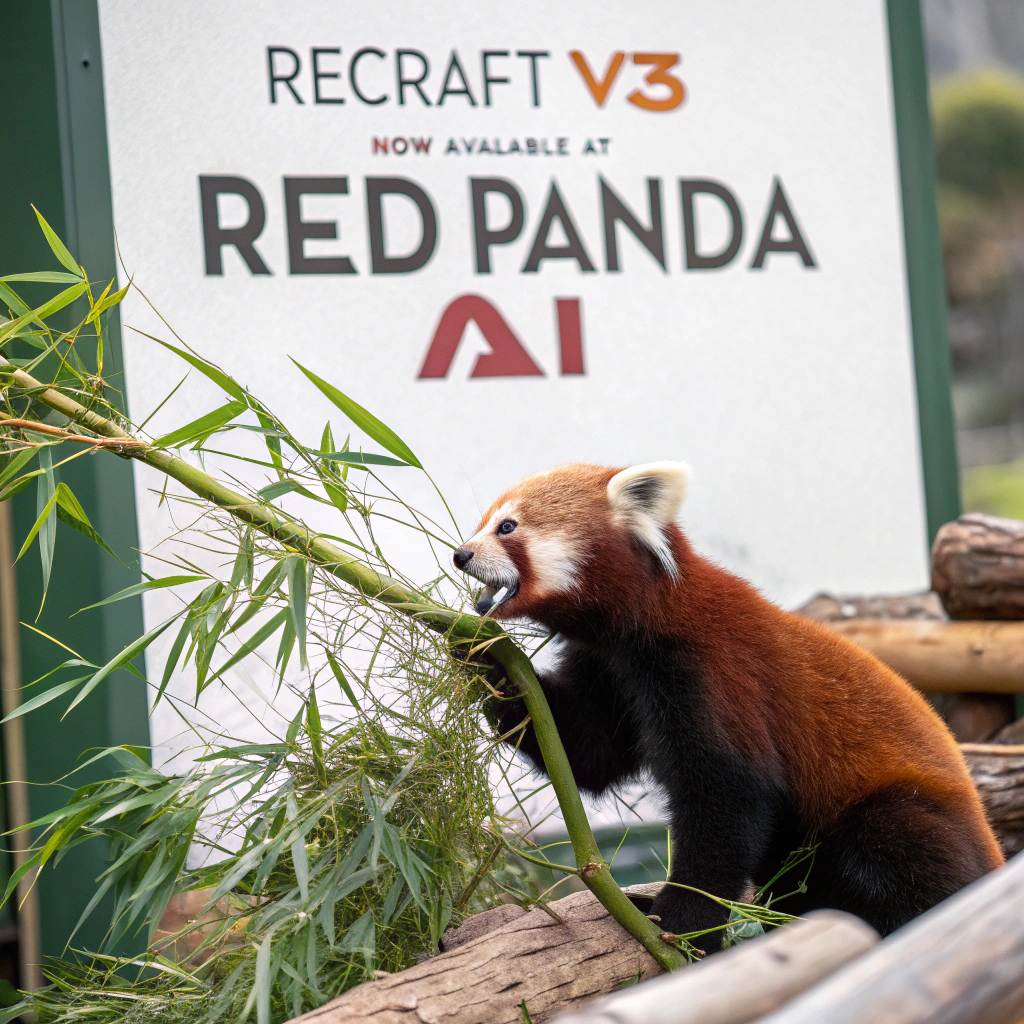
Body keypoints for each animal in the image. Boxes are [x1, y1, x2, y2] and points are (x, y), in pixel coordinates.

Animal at [452, 462, 1003, 952]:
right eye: (484, 523)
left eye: (507, 527)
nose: (460, 554)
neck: (638, 625)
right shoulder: (608, 670)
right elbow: (587, 755)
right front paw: (478, 651)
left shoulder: (714, 671)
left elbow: (727, 796)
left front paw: (681, 922)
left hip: (904, 816)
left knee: (896, 852)